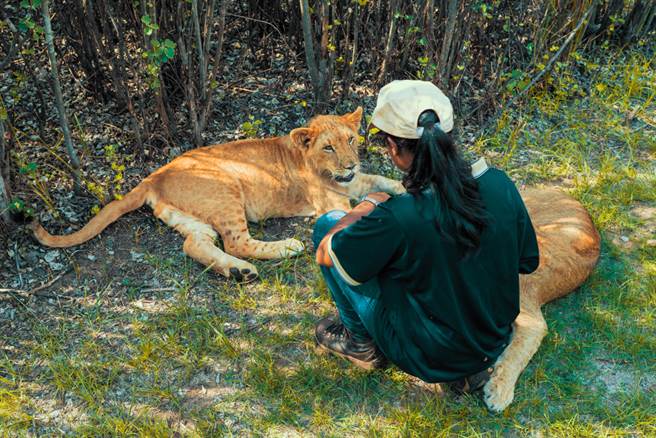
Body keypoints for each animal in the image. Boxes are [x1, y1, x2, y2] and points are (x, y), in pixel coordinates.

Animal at [34, 108, 404, 282]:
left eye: (351, 140)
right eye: (328, 147)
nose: (350, 163)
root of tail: (155, 176)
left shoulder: (355, 183)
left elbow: (382, 181)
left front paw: (402, 188)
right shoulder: (333, 202)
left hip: (191, 219)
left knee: (194, 244)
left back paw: (238, 273)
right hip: (227, 190)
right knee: (238, 242)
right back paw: (283, 249)